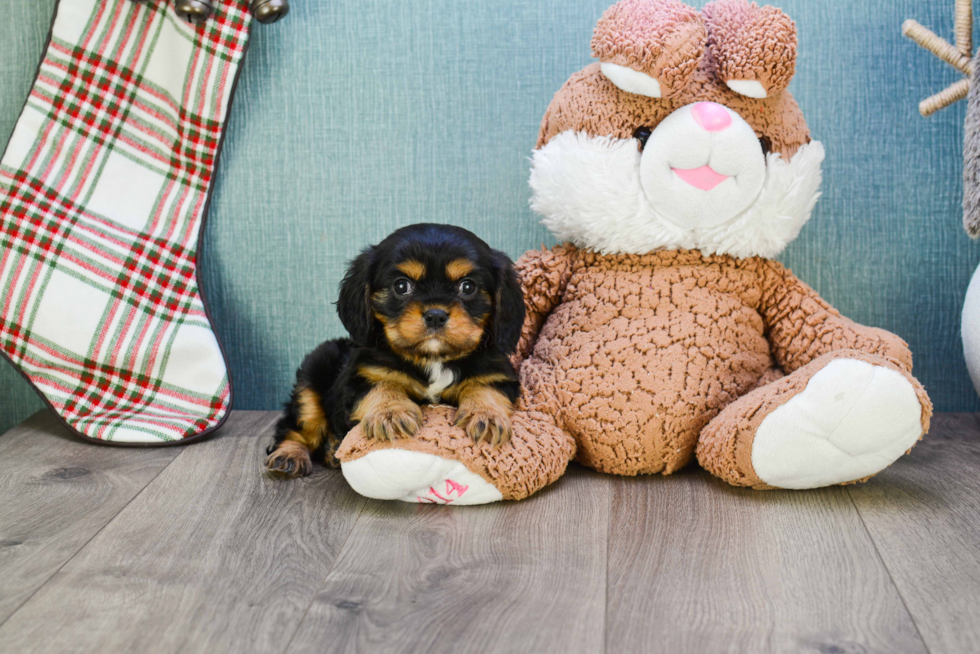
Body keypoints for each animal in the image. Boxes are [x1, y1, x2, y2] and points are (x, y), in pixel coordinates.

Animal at [264, 224, 524, 476]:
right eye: (401, 286)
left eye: (467, 286)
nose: (436, 315)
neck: (432, 358)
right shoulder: (361, 376)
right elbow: (383, 385)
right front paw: (390, 413)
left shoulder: (498, 373)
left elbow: (484, 387)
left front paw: (485, 415)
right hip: (312, 375)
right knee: (296, 428)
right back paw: (290, 456)